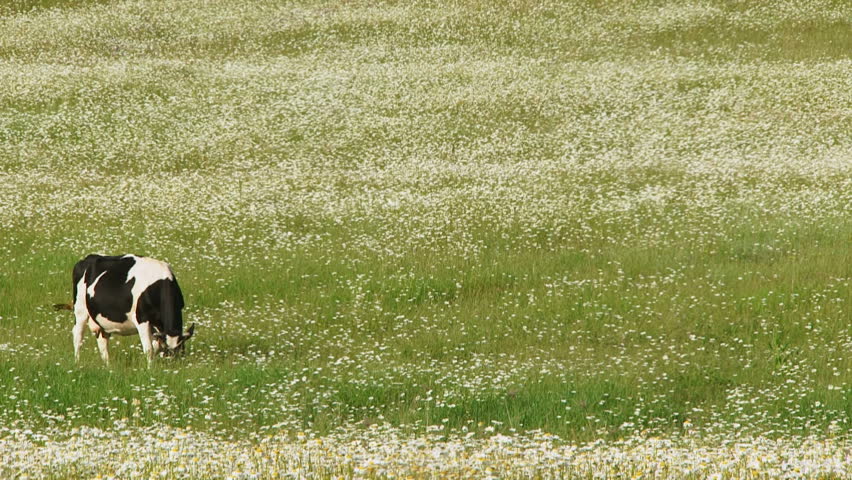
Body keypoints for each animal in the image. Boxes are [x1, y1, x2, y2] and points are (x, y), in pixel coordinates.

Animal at [58, 254, 195, 365]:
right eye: (167, 350)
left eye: (181, 349)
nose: (172, 366)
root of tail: (87, 258)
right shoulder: (142, 319)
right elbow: (149, 349)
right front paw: (150, 368)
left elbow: (155, 346)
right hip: (80, 310)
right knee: (78, 335)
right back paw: (77, 362)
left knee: (102, 340)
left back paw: (108, 366)